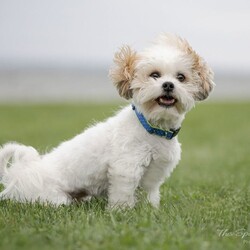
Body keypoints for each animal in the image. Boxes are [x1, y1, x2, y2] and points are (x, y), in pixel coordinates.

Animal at [0, 34, 215, 208]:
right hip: (56, 199)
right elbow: (123, 196)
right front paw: (122, 212)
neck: (152, 129)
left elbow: (150, 195)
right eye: (155, 75)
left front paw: (150, 210)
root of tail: (23, 173)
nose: (168, 85)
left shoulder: (154, 174)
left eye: (181, 77)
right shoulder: (126, 169)